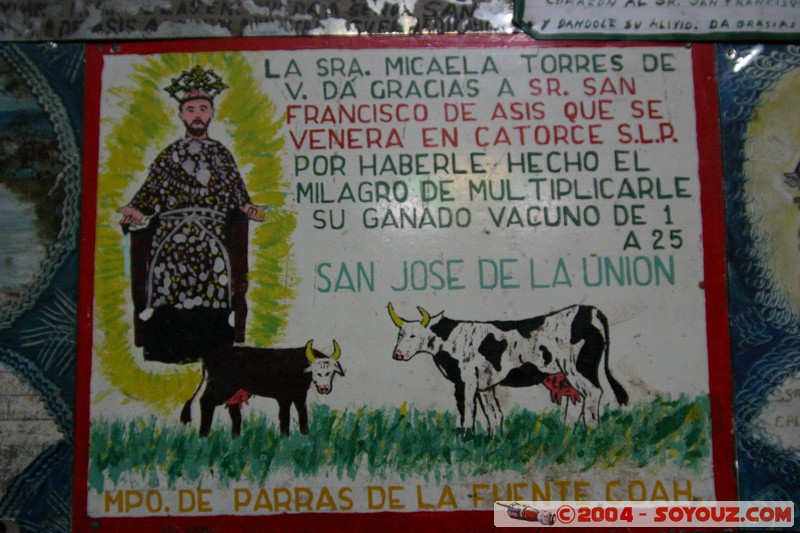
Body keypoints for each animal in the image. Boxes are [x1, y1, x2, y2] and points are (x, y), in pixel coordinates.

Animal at [386, 304, 624, 436]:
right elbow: (494, 414)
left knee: (593, 394)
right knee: (576, 401)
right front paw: (494, 440)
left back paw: (593, 435)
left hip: (579, 368)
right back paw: (568, 436)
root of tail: (590, 310)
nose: (397, 354)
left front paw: (466, 437)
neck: (450, 340)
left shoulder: (466, 381)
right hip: (570, 373)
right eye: (399, 334)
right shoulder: (485, 384)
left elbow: (467, 410)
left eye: (413, 335)